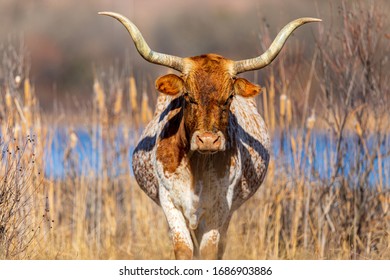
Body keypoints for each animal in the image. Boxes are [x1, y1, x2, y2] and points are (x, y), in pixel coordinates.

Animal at [98, 12, 320, 260]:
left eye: (229, 97)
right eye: (188, 96)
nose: (207, 140)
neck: (198, 166)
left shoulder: (220, 207)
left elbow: (210, 250)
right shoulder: (170, 202)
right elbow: (183, 249)